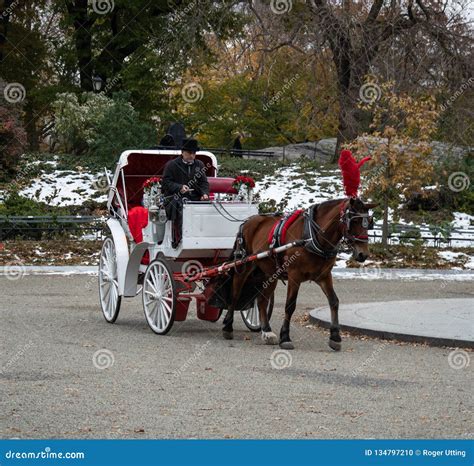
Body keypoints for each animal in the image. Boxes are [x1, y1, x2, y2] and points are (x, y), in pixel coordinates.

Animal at [221, 196, 374, 350]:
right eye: (354, 221)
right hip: (244, 266)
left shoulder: (324, 276)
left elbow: (334, 301)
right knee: (235, 294)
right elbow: (290, 306)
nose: (363, 254)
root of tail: (247, 221)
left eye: (369, 222)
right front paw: (285, 337)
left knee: (262, 301)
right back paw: (228, 326)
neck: (312, 237)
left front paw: (335, 337)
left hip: (269, 274)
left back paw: (267, 331)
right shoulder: (295, 276)